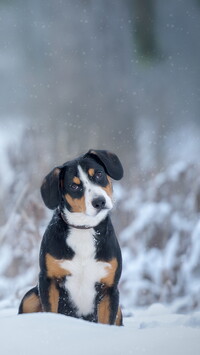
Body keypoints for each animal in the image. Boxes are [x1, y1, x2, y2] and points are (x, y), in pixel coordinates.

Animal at [19, 149, 125, 326]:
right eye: (74, 186)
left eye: (98, 174)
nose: (99, 201)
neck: (83, 229)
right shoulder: (49, 281)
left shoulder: (109, 288)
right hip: (30, 297)